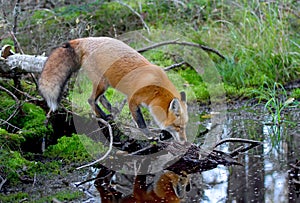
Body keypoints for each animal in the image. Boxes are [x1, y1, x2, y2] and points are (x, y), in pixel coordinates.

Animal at [37, 36, 188, 141]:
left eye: (184, 127)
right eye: (178, 127)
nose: (185, 142)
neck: (156, 91)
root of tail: (85, 39)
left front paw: (162, 134)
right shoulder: (133, 99)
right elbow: (140, 122)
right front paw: (149, 134)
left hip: (104, 83)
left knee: (100, 99)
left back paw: (112, 111)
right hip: (102, 83)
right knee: (91, 100)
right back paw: (103, 116)